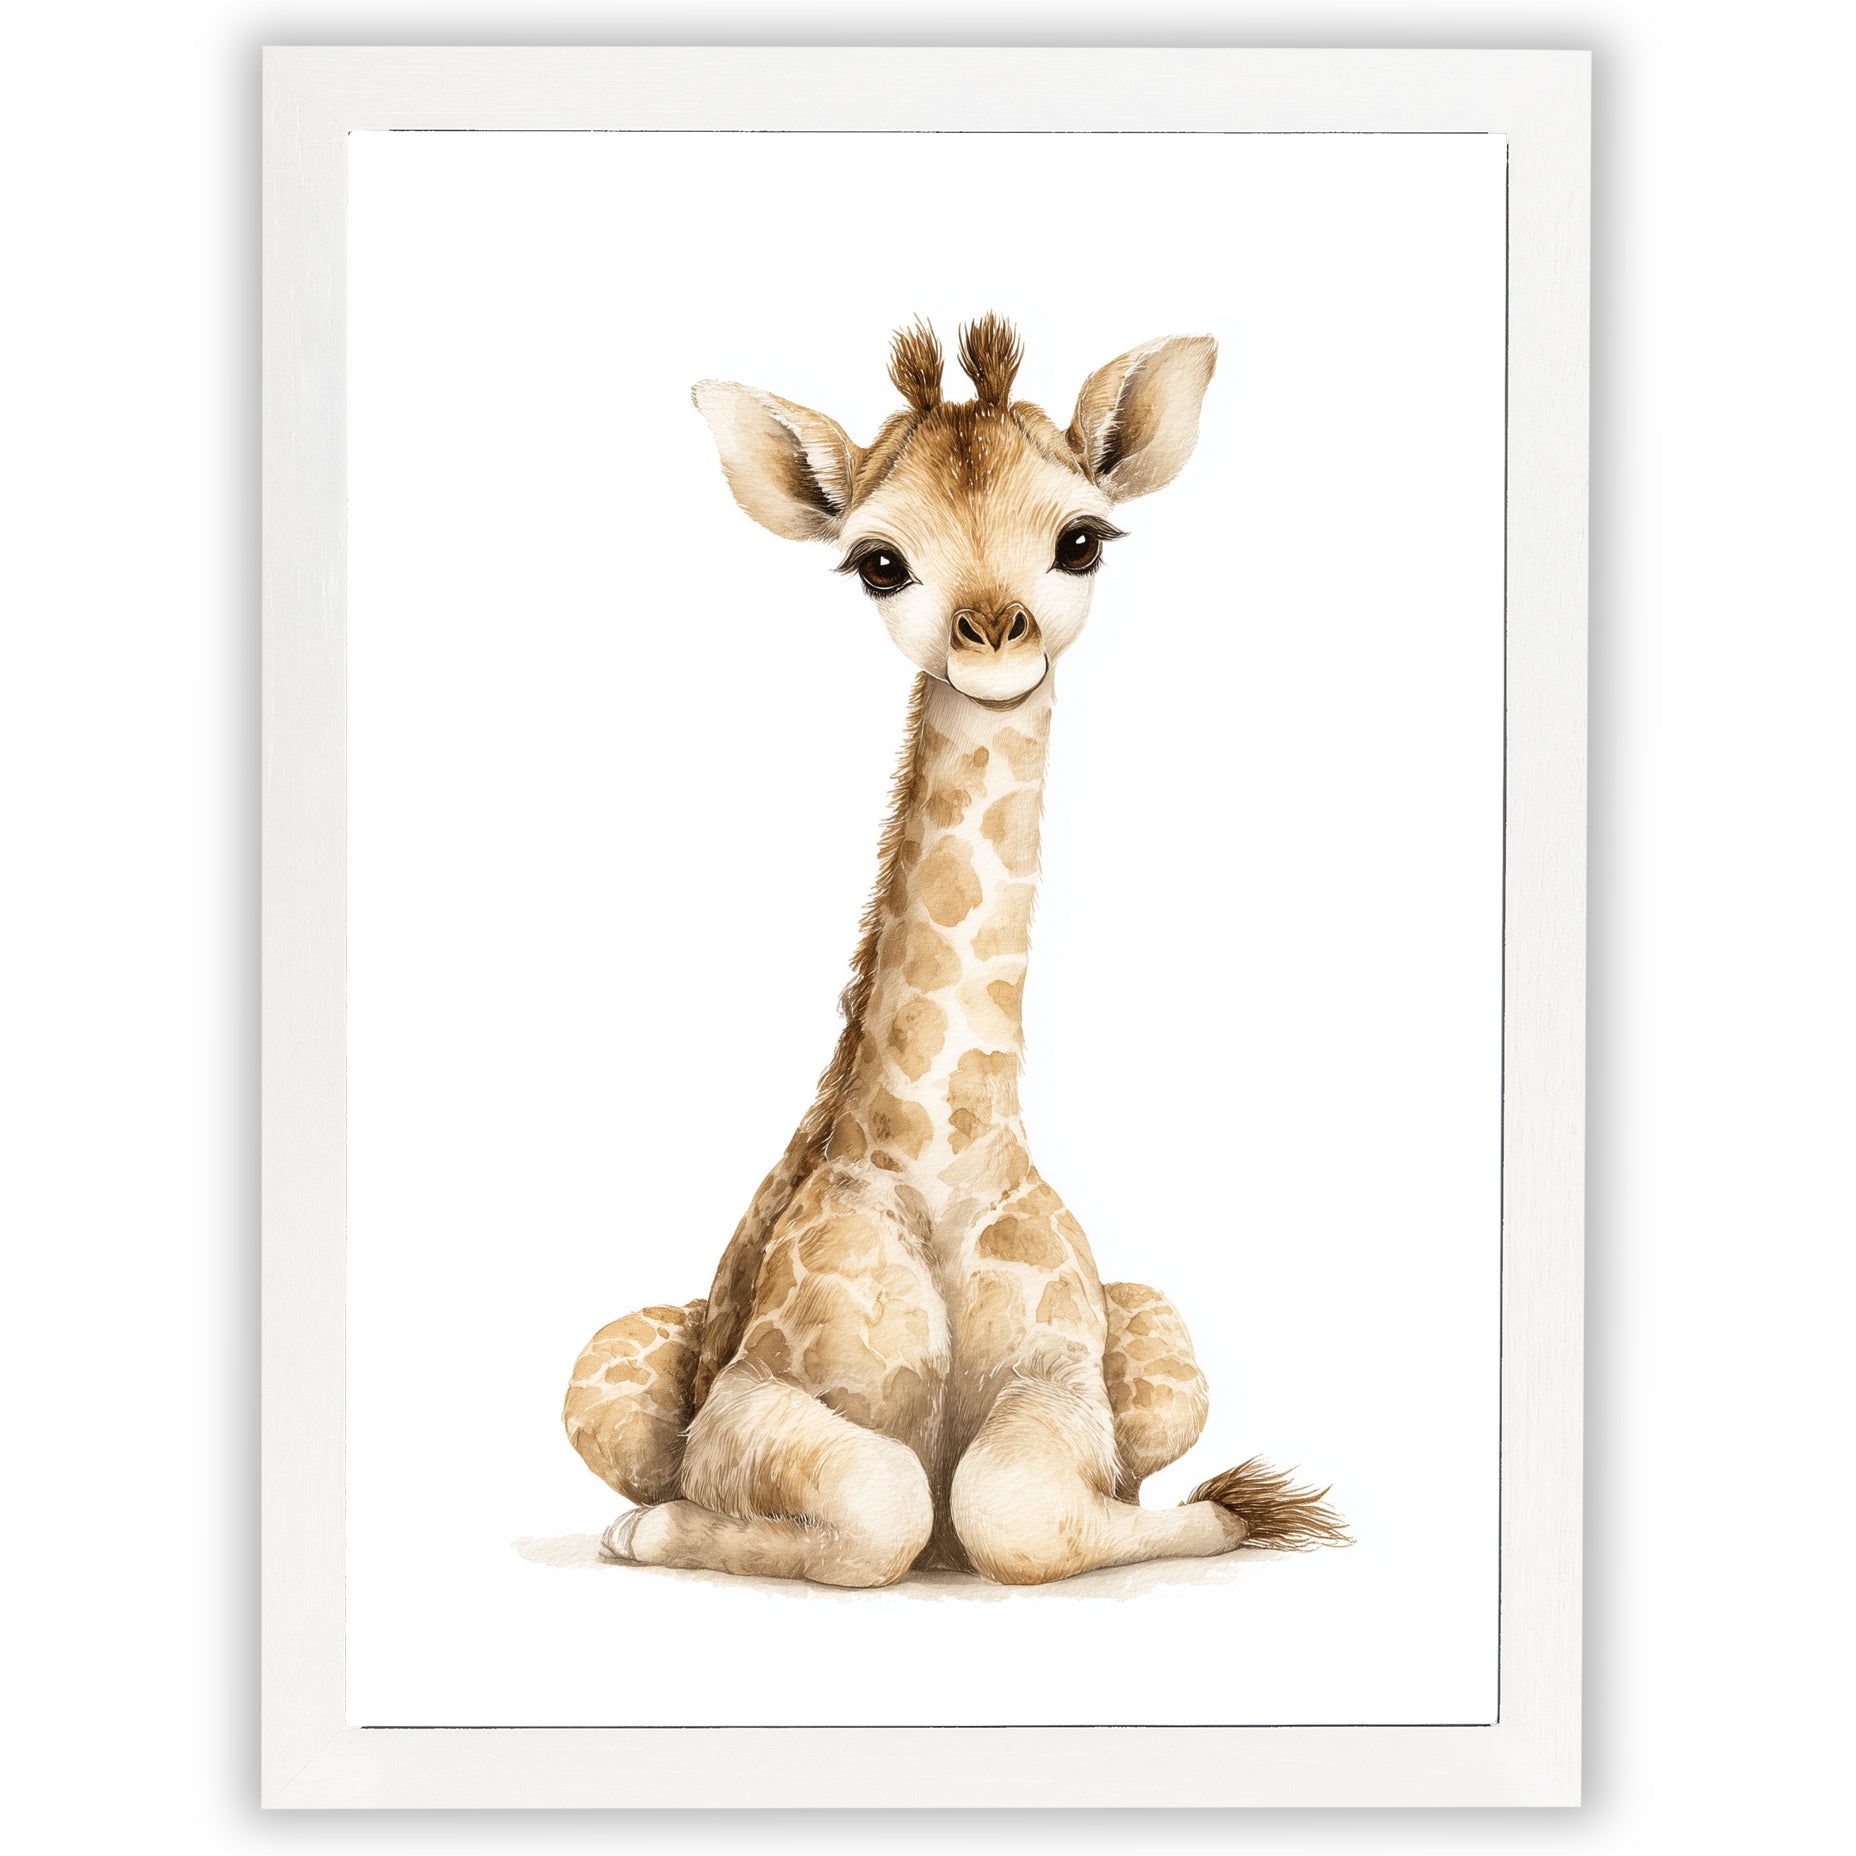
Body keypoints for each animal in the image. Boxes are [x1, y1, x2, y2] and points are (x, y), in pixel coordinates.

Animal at [562, 316, 1348, 1586]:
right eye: (879, 562)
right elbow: (887, 1501)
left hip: (1162, 1335)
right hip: (603, 1370)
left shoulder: (1062, 1380)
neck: (940, 1153)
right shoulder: (748, 1398)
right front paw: (654, 1527)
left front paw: (1238, 1507)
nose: (992, 636)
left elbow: (1014, 1504)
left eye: (1080, 540)